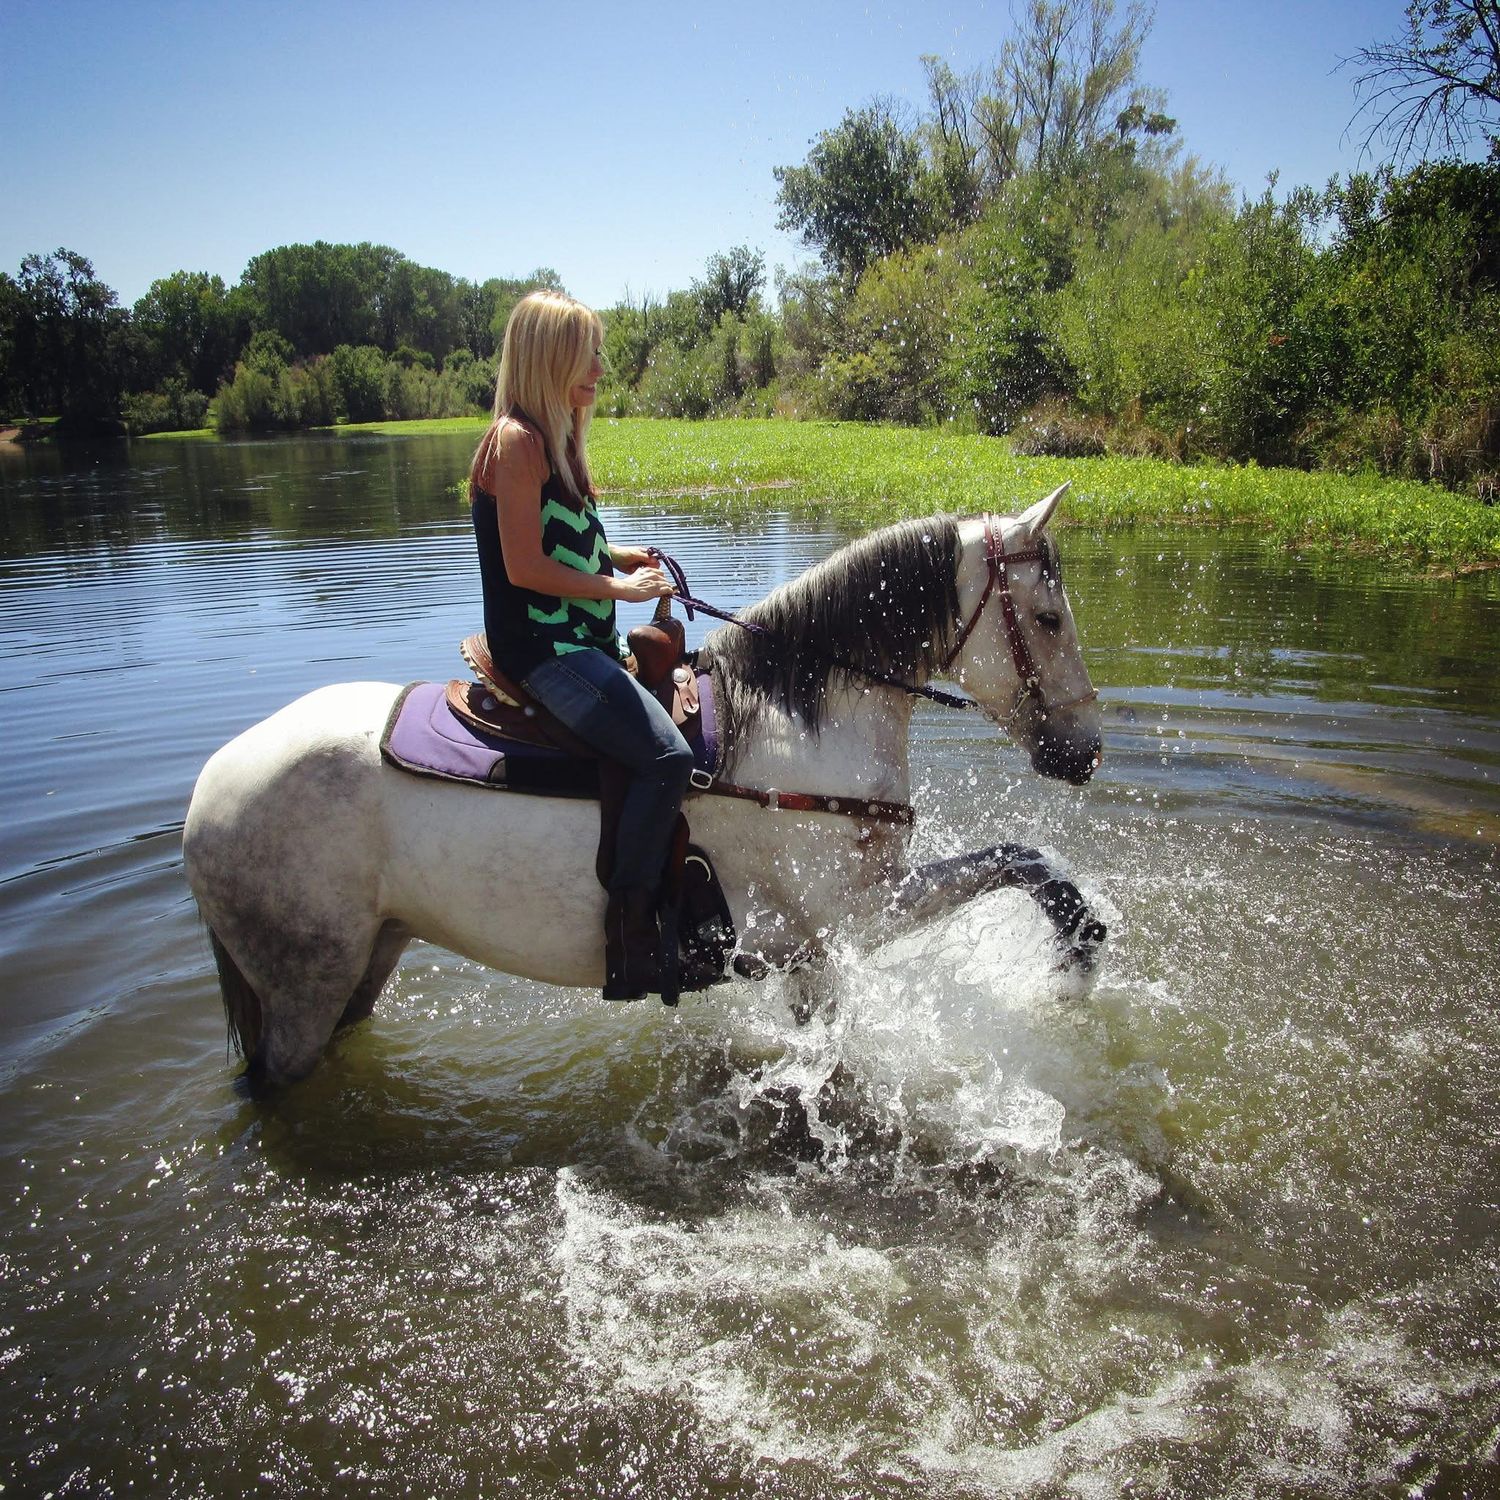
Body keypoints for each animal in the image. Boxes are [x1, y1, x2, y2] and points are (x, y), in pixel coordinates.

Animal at [183, 484, 1104, 1086]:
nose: (1086, 752)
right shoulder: (855, 914)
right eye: (1049, 617)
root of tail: (209, 787)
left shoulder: (810, 952)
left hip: (367, 957)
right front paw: (1078, 949)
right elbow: (1023, 860)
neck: (800, 719)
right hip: (303, 984)